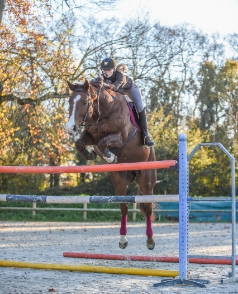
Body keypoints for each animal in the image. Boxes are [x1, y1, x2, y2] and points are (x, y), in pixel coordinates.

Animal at [65, 78, 157, 250]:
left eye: (84, 102)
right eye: (69, 101)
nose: (69, 128)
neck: (103, 112)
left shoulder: (120, 136)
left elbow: (103, 143)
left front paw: (109, 157)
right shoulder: (90, 135)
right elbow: (80, 144)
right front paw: (91, 154)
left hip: (146, 178)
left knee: (147, 208)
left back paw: (150, 242)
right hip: (120, 180)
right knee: (124, 207)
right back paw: (122, 240)